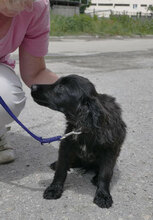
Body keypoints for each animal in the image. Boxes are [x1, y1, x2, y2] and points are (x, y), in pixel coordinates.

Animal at [30, 74, 125, 208]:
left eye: (61, 87)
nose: (32, 86)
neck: (84, 127)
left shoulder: (110, 151)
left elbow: (105, 174)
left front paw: (103, 195)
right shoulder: (66, 145)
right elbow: (61, 170)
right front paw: (54, 189)